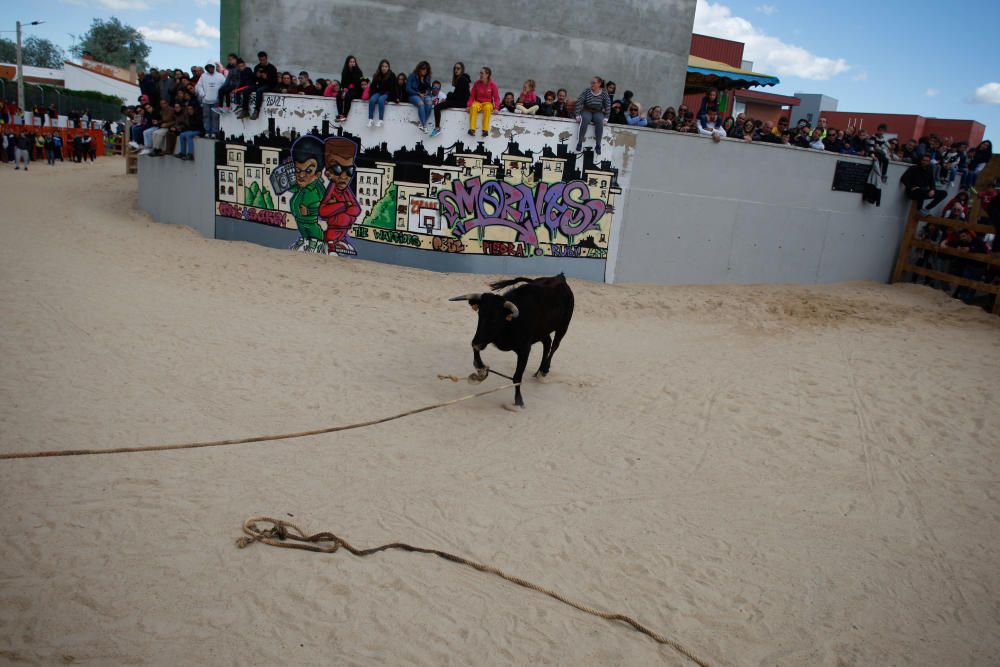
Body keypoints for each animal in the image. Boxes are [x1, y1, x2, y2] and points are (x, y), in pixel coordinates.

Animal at [450, 272, 576, 408]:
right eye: (480, 314)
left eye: (495, 318)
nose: (477, 342)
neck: (510, 323)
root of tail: (560, 277)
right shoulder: (483, 338)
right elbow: (476, 352)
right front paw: (481, 370)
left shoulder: (525, 349)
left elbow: (517, 377)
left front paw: (519, 401)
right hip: (542, 331)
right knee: (547, 343)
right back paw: (538, 371)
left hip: (563, 326)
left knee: (554, 346)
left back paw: (543, 371)